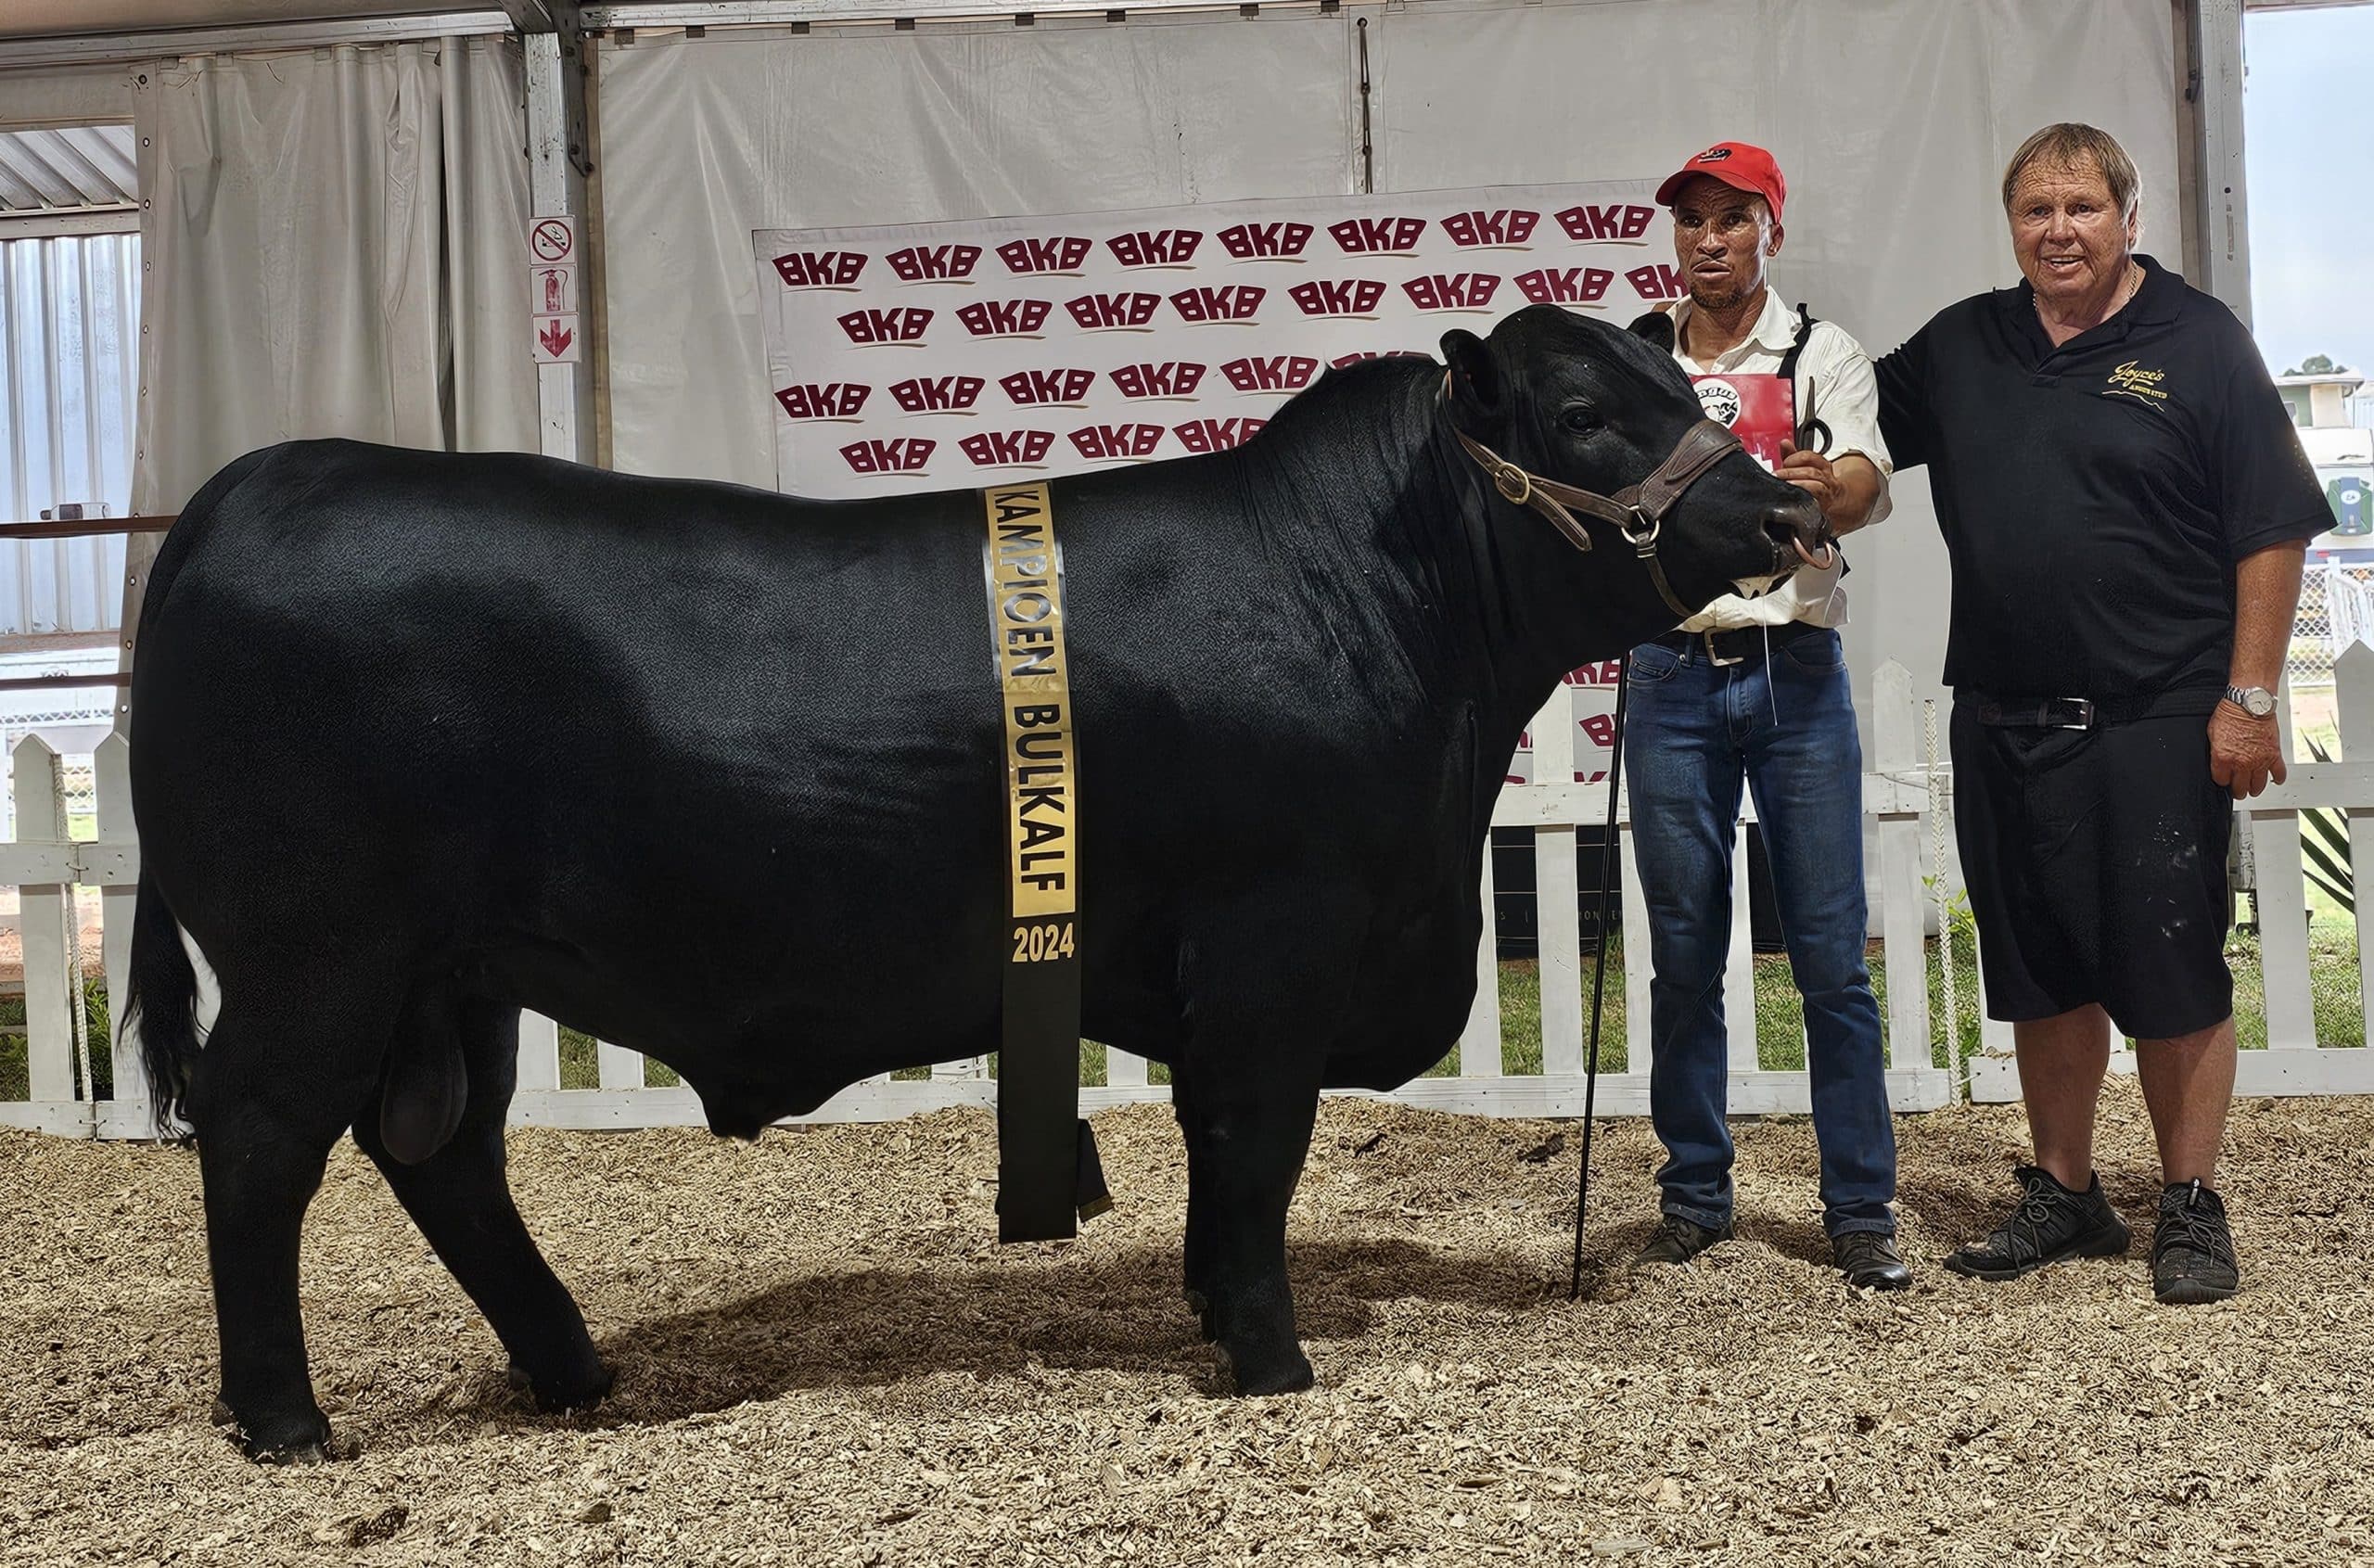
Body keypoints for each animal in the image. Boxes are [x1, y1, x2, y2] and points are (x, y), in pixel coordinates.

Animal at [125, 302, 1813, 1451]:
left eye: (1686, 388)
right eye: (1584, 412)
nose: (1786, 504)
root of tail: (240, 494)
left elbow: (1215, 1162)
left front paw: (1213, 1311)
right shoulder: (1275, 944)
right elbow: (1255, 1146)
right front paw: (1272, 1360)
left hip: (452, 969)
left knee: (447, 1152)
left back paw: (574, 1368)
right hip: (316, 951)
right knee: (263, 1138)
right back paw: (287, 1421)